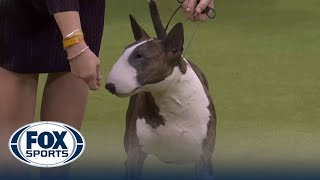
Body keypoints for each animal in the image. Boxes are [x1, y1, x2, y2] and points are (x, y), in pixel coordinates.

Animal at [106, 0, 216, 179]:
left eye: (140, 56)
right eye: (124, 52)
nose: (109, 86)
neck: (171, 102)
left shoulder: (204, 157)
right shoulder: (135, 152)